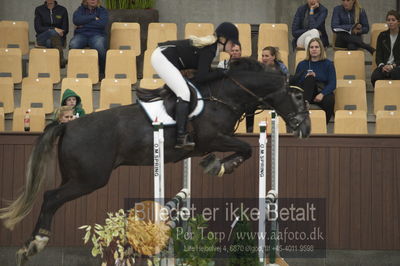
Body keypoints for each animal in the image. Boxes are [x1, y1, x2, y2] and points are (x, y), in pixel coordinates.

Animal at [0, 57, 310, 264]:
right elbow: (245, 149)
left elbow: (242, 150)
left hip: (76, 176)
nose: (306, 129)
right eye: (298, 98)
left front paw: (215, 164)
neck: (223, 96)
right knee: (51, 197)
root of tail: (68, 125)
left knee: (52, 197)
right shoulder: (212, 138)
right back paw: (35, 244)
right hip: (89, 179)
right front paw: (221, 165)